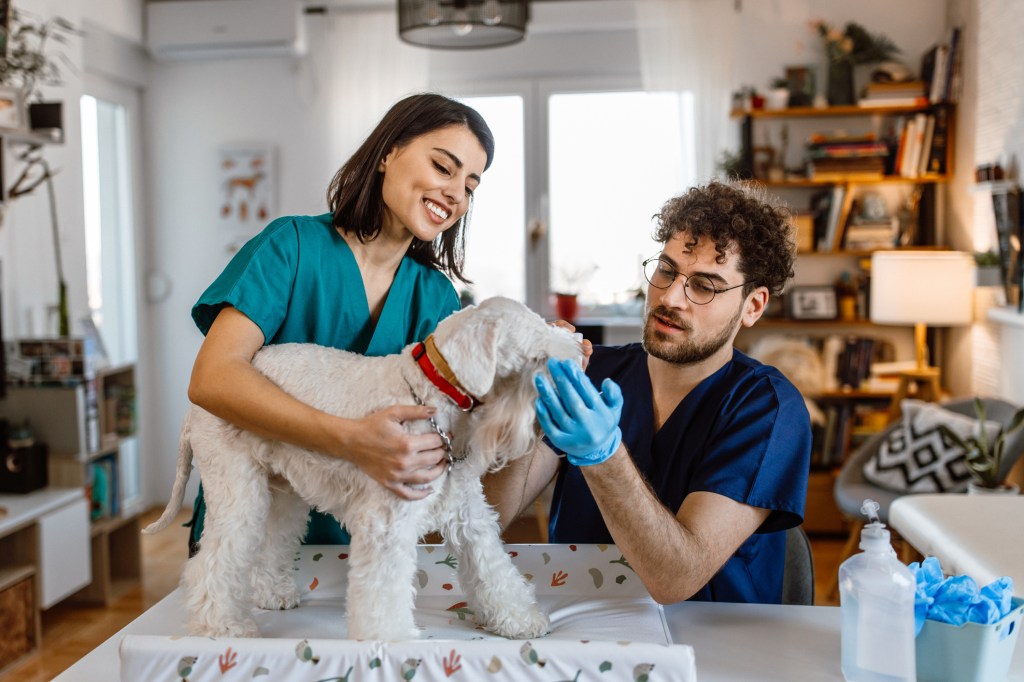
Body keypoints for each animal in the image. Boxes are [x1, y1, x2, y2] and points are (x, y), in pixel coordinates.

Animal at [143, 296, 581, 638]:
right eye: (537, 354)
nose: (579, 352)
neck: (431, 392)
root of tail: (193, 408)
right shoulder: (387, 523)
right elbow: (383, 590)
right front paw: (391, 641)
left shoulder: (469, 514)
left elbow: (494, 569)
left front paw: (520, 620)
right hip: (238, 493)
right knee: (212, 563)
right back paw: (222, 625)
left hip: (283, 493)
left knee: (271, 542)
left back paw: (273, 594)